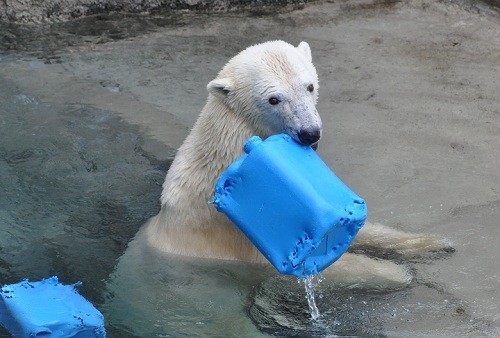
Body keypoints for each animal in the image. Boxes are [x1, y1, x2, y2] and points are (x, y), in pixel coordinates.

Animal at [142, 40, 454, 288]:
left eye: (310, 86)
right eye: (274, 99)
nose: (310, 133)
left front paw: (434, 243)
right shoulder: (234, 232)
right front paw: (398, 273)